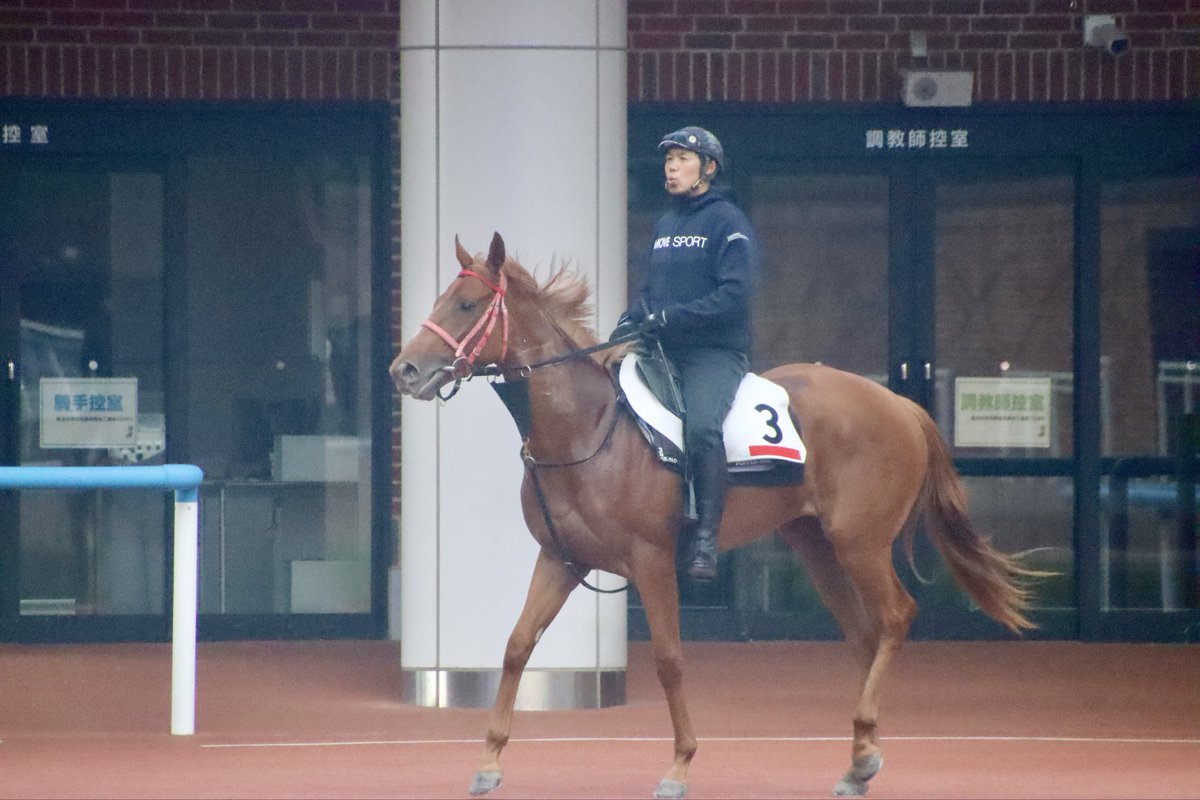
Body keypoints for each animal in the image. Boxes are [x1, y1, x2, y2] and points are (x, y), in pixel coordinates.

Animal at [389, 233, 1044, 799]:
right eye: (440, 300)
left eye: (467, 303)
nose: (405, 370)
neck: (590, 427)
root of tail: (899, 403)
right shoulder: (561, 558)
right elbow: (516, 646)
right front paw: (488, 760)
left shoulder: (651, 563)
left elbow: (670, 660)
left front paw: (680, 764)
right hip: (815, 545)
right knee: (865, 634)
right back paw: (860, 757)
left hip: (860, 542)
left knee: (895, 617)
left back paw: (864, 746)